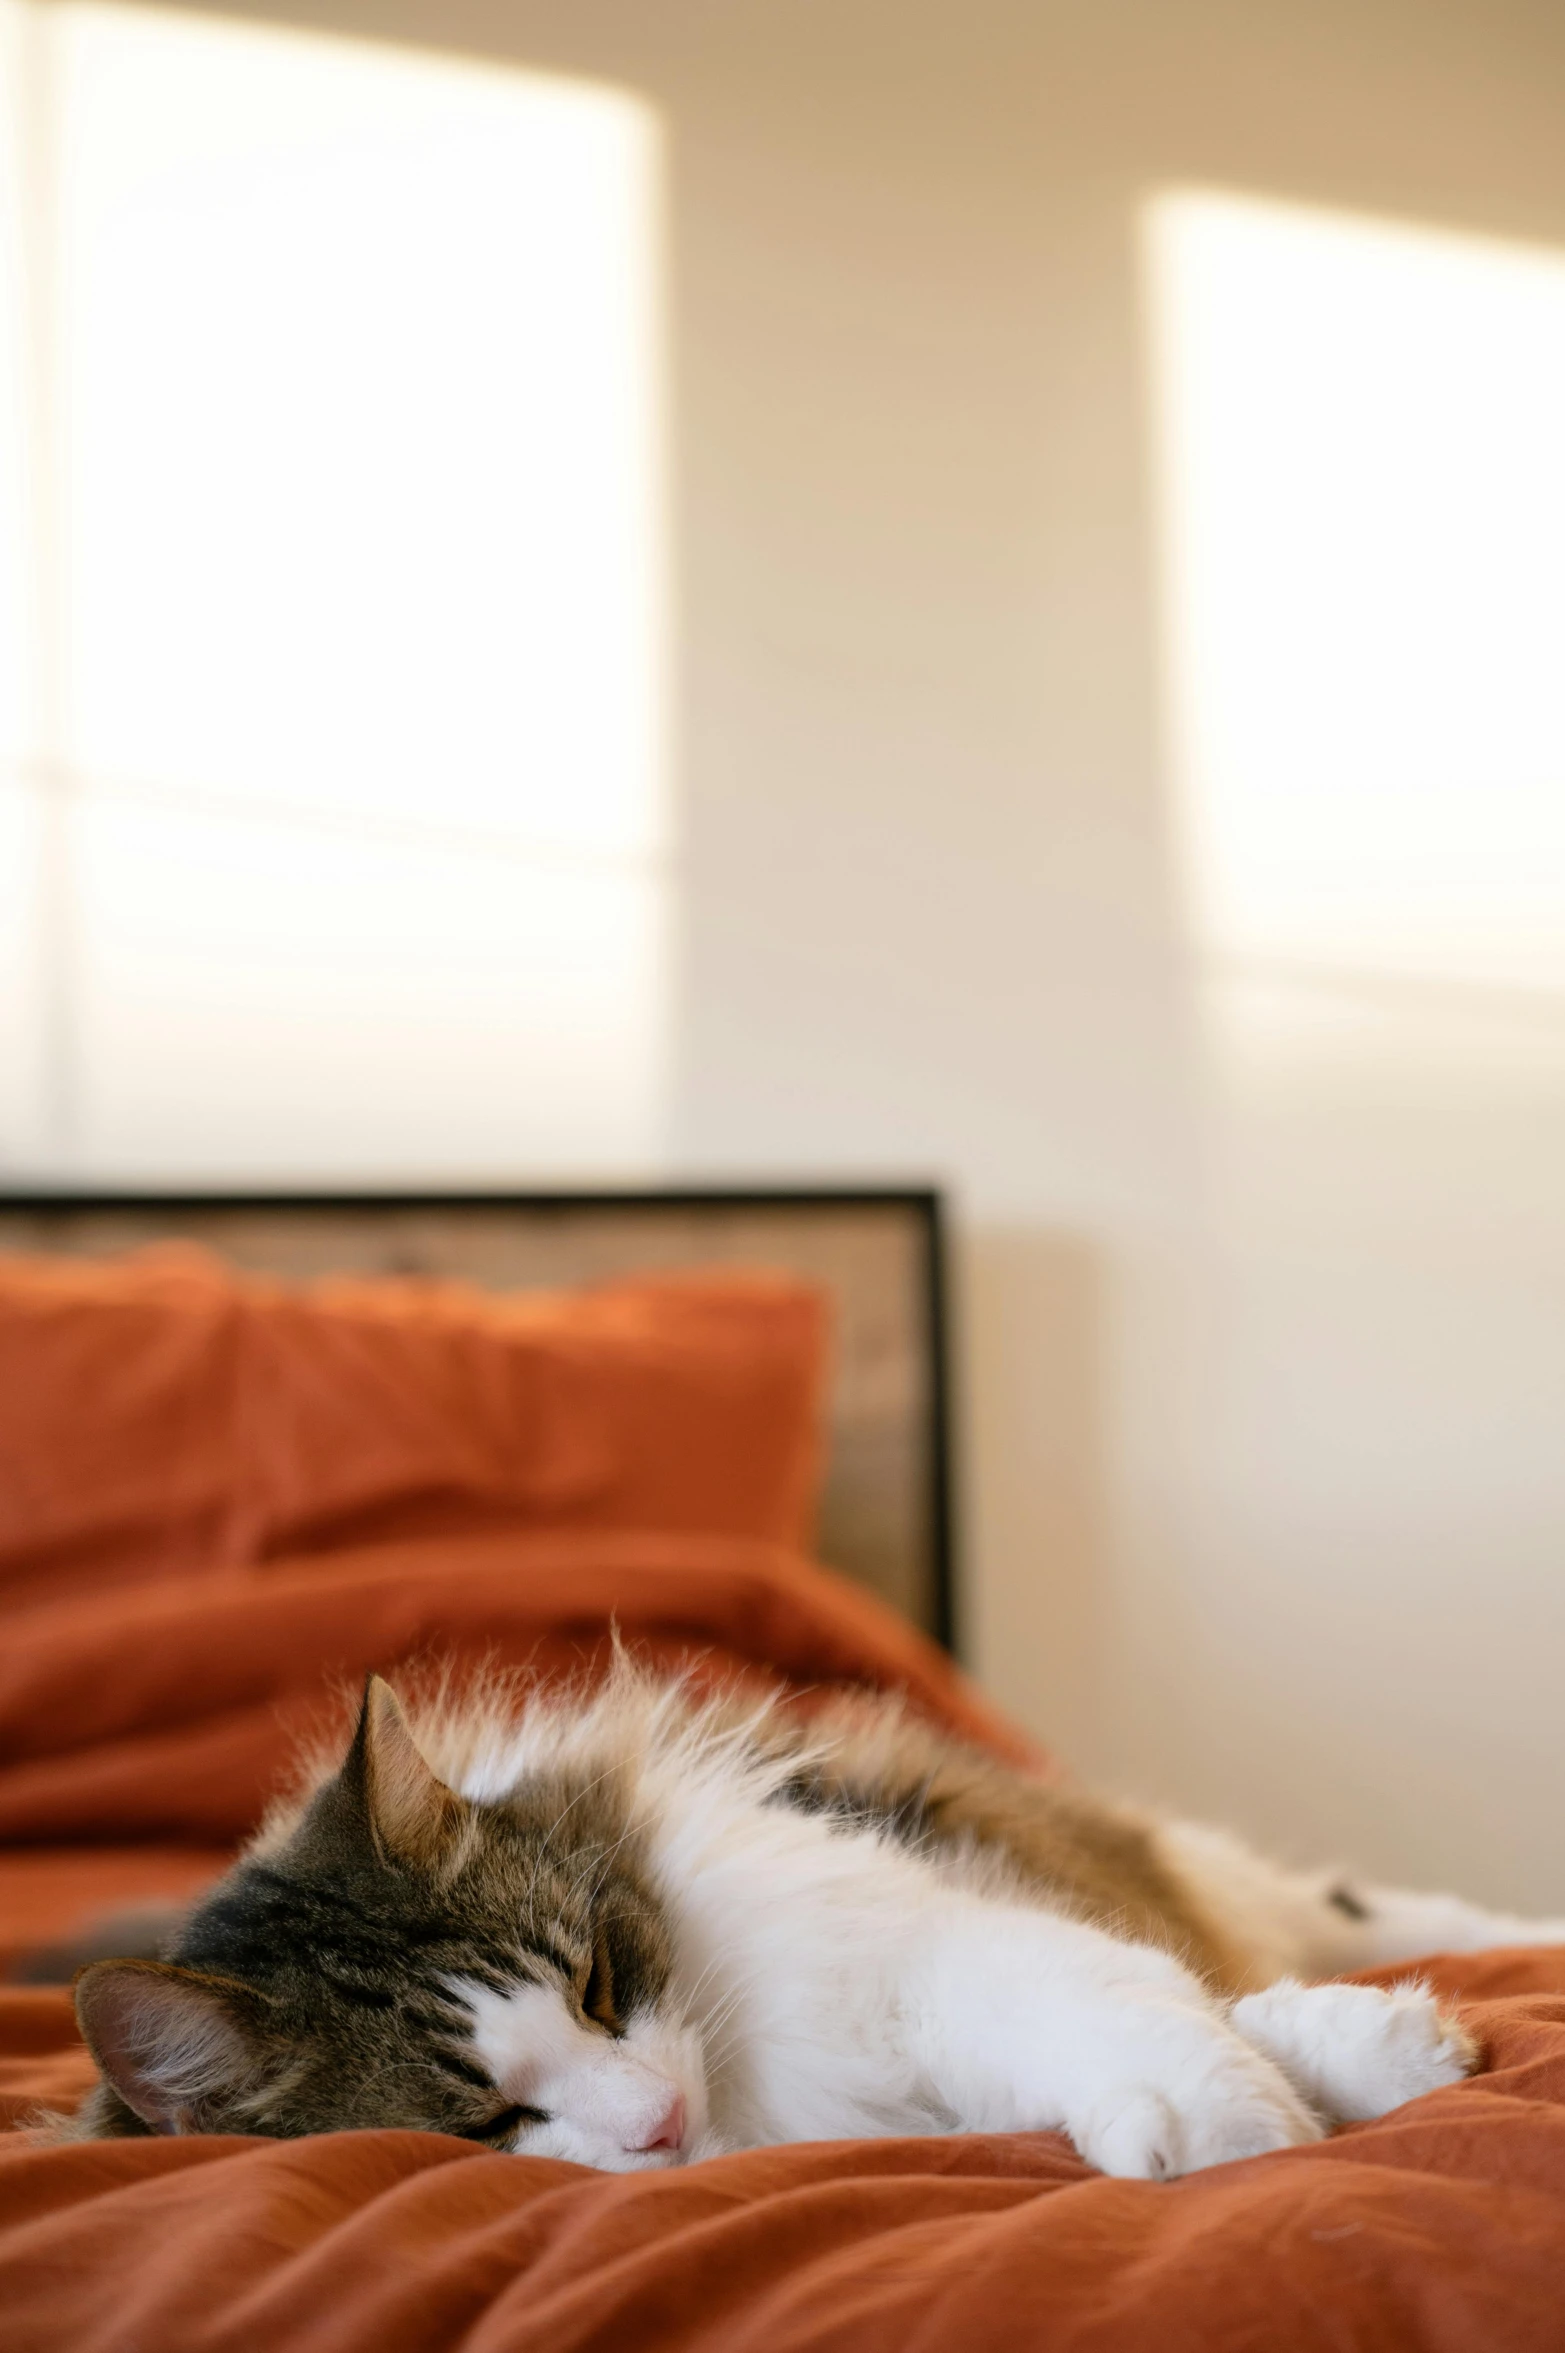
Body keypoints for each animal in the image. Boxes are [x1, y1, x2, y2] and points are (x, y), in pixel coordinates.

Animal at [67, 1665, 1562, 2174]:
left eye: (601, 1983)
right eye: (488, 2119)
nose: (658, 2121)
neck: (745, 2089)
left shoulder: (929, 1938)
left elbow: (1144, 2010)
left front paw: (1274, 2104)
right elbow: (1185, 2012)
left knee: (1370, 1905)